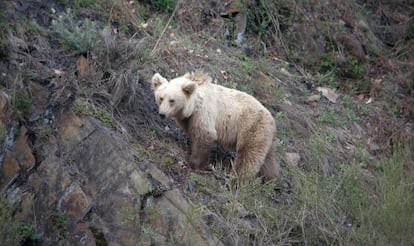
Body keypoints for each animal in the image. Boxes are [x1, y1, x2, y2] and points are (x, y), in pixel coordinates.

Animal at [150, 71, 280, 181]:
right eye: (161, 98)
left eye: (172, 100)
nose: (162, 114)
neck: (193, 105)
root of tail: (272, 121)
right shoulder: (188, 119)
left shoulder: (204, 113)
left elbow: (205, 136)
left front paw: (194, 164)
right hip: (264, 137)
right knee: (268, 160)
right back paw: (270, 179)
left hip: (252, 128)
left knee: (248, 157)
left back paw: (237, 180)